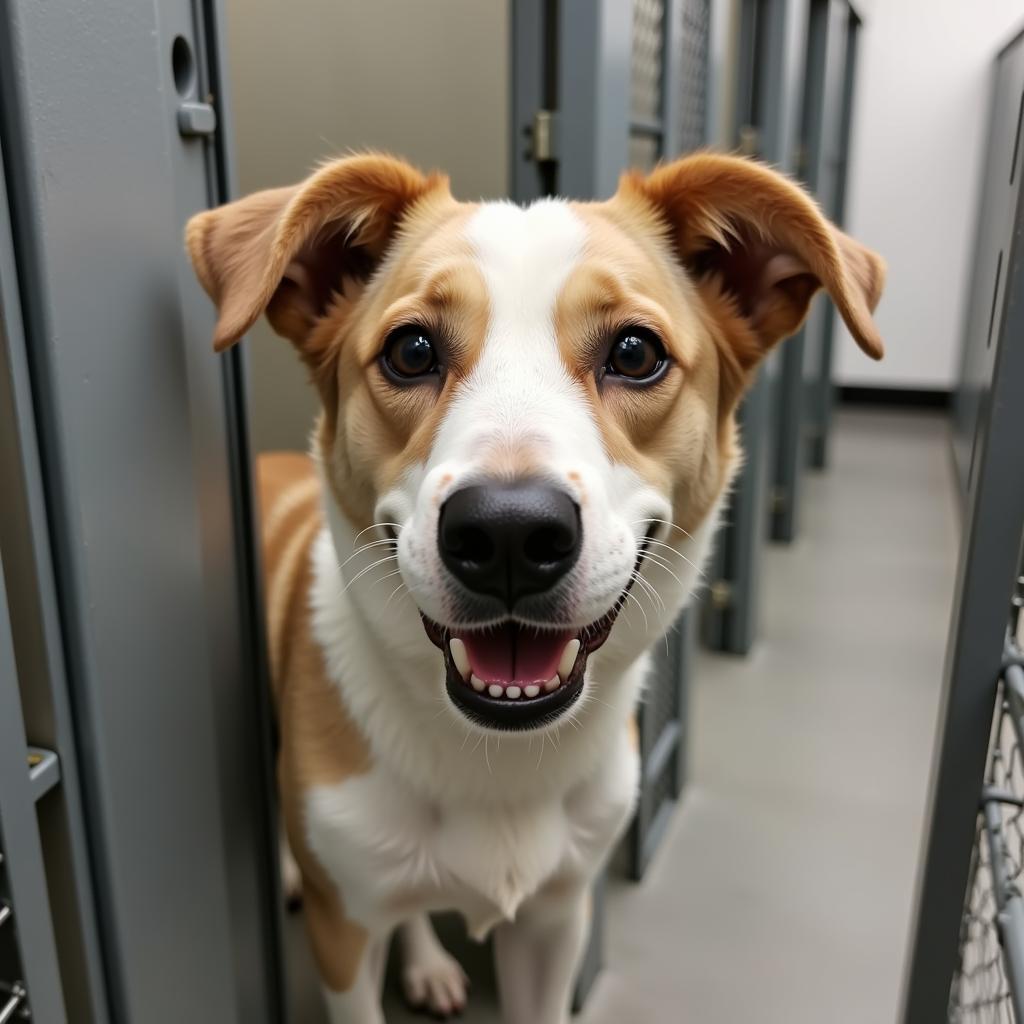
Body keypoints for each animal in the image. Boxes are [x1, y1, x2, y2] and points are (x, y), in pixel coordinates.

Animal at [188, 153, 884, 1024]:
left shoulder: (556, 921)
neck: (498, 757)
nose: (509, 535)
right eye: (411, 351)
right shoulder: (341, 936)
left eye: (635, 352)